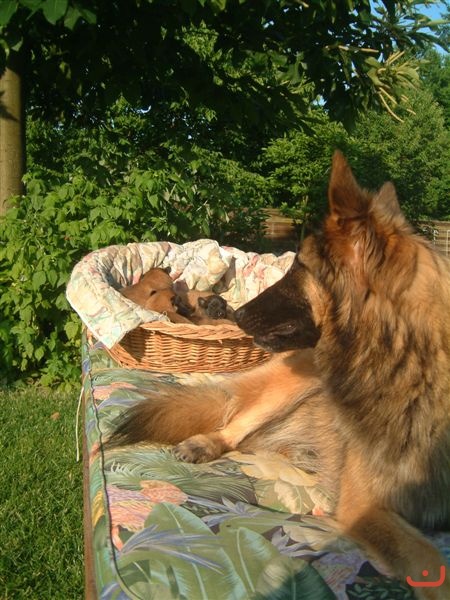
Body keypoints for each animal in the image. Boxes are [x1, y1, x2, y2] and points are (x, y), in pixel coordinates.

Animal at [108, 152, 450, 599]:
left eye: (299, 268)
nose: (233, 312)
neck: (410, 365)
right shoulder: (364, 506)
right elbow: (431, 557)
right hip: (293, 381)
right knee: (237, 425)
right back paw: (207, 443)